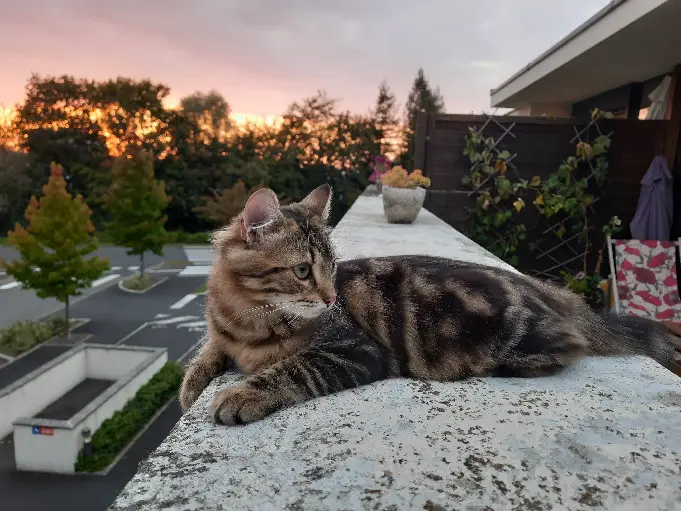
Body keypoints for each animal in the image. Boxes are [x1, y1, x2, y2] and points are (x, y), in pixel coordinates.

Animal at [178, 184, 676, 424]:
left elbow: (291, 370)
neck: (246, 317)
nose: (331, 296)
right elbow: (206, 352)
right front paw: (191, 388)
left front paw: (241, 394)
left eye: (331, 268)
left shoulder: (355, 350)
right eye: (303, 271)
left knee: (570, 347)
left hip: (518, 338)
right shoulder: (224, 334)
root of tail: (548, 292)